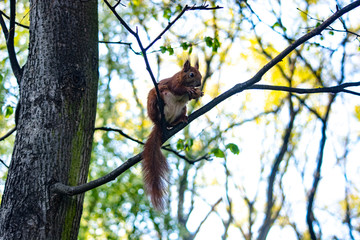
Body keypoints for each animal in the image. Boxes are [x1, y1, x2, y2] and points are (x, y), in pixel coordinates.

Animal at [143, 60, 204, 210]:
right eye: (191, 74)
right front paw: (188, 90)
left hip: (182, 109)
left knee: (173, 121)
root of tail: (161, 124)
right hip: (154, 98)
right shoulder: (173, 82)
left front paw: (197, 93)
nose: (199, 84)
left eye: (201, 74)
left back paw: (180, 120)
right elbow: (177, 88)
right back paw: (159, 104)